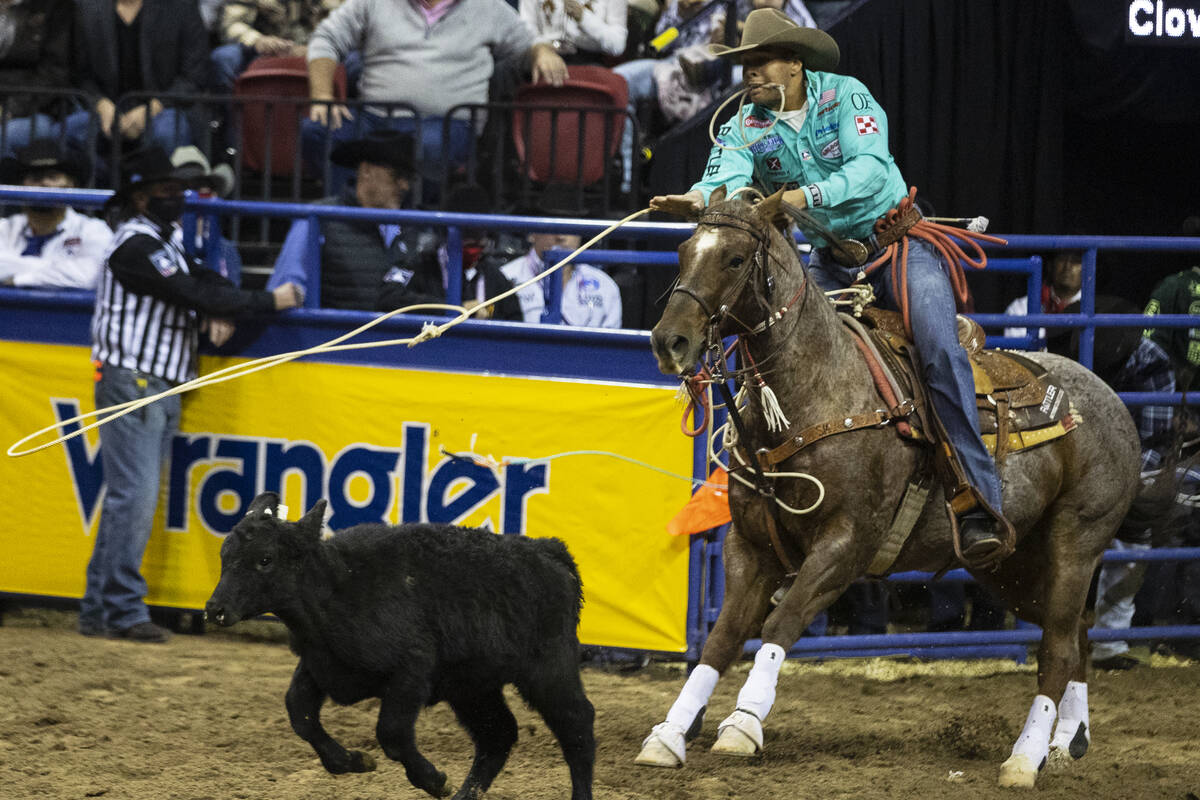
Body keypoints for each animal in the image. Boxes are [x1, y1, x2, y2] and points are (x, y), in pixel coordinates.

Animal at [208, 494, 597, 800]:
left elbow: (391, 733)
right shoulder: (320, 666)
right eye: (225, 555)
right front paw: (352, 761)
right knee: (497, 735)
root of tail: (549, 551)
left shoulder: (411, 673)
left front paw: (434, 780)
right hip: (472, 686)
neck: (339, 588)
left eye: (265, 559)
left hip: (550, 670)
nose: (215, 609)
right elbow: (300, 714)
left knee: (577, 726)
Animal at [633, 188, 1137, 786]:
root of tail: (1114, 401)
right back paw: (1065, 741)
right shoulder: (750, 545)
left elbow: (782, 621)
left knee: (1058, 647)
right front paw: (669, 734)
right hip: (1013, 564)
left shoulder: (848, 543)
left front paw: (744, 723)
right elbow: (722, 637)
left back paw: (1024, 757)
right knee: (1077, 632)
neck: (819, 390)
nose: (669, 341)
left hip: (1074, 545)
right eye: (684, 251)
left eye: (734, 260)